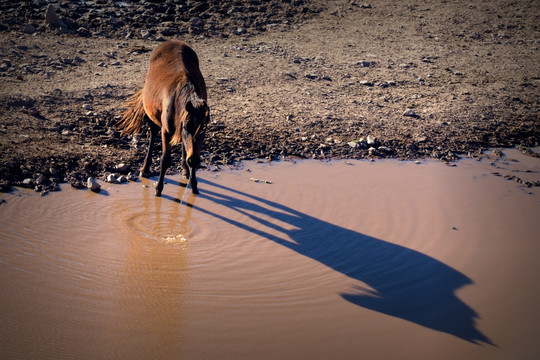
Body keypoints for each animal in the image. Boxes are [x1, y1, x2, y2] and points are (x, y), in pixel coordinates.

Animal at [117, 39, 210, 195]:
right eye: (186, 127)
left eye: (203, 129)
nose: (193, 161)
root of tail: (172, 41)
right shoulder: (166, 131)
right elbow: (165, 160)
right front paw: (158, 189)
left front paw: (194, 185)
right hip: (153, 117)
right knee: (153, 134)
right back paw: (145, 169)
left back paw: (185, 169)